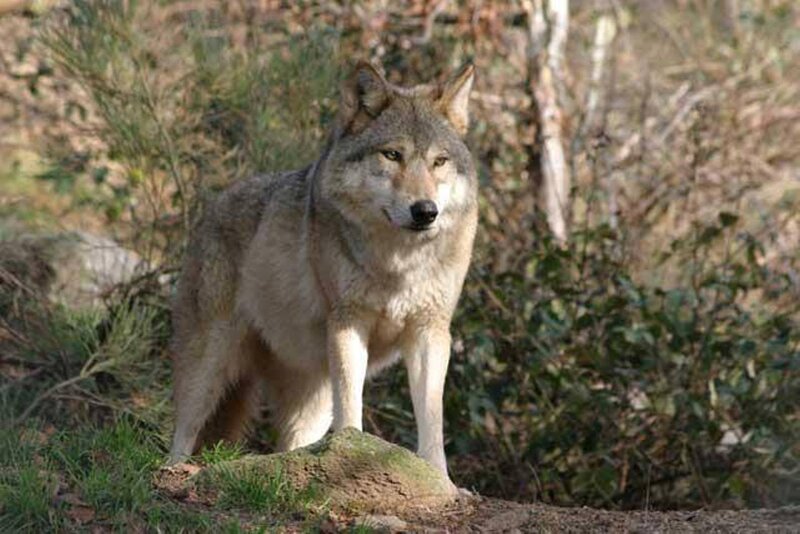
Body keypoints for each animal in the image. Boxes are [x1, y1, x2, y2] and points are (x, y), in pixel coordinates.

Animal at [168, 61, 477, 485]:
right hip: (209, 364)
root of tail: (212, 205)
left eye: (439, 162)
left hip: (310, 399)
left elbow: (432, 418)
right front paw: (353, 454)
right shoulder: (348, 322)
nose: (425, 211)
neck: (398, 264)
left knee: (291, 445)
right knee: (181, 431)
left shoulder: (429, 330)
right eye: (392, 155)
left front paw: (440, 479)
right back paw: (172, 472)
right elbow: (351, 405)